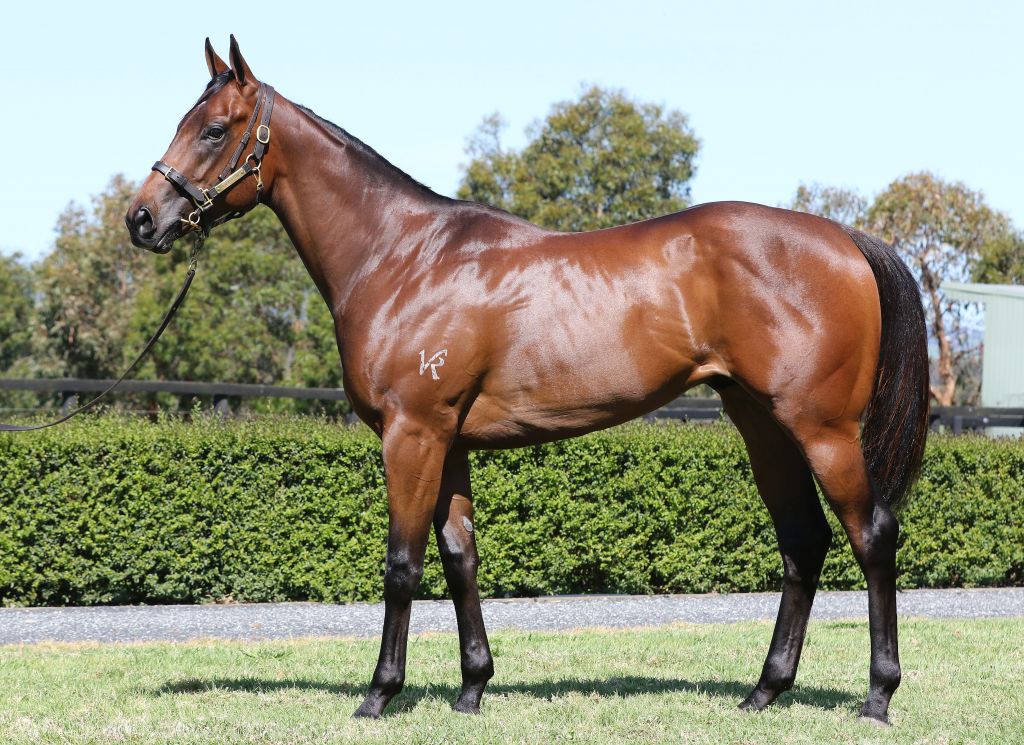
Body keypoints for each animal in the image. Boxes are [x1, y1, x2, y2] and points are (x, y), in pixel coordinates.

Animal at [125, 36, 929, 724]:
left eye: (214, 129)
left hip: (822, 430)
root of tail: (844, 238)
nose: (142, 218)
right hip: (763, 425)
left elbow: (402, 562)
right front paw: (472, 689)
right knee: (803, 543)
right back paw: (764, 691)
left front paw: (379, 694)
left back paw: (877, 696)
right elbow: (460, 558)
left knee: (870, 534)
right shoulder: (447, 440)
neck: (402, 255)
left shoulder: (411, 434)